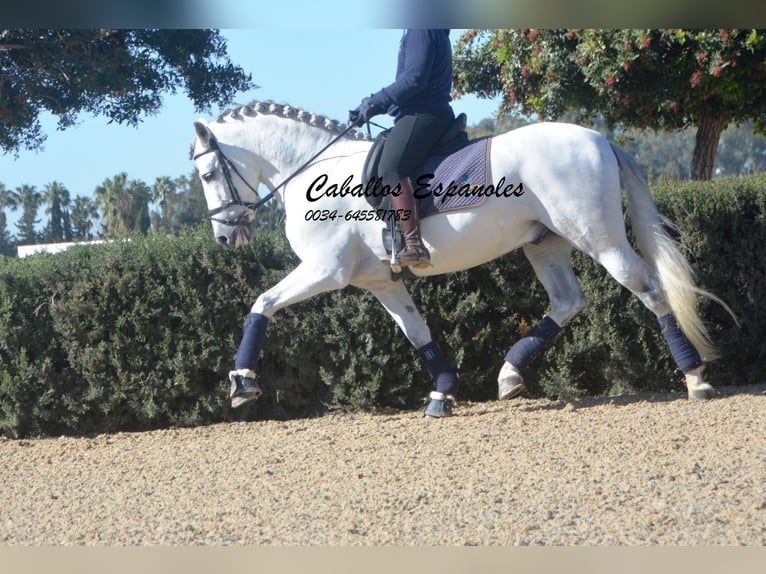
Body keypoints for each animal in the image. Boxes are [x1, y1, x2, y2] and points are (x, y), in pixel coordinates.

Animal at [190, 98, 728, 414]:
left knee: (648, 289)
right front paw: (443, 390)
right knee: (568, 301)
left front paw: (241, 382)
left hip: (599, 238)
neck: (313, 169)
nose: (225, 238)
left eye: (208, 174)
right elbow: (417, 332)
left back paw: (695, 378)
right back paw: (509, 375)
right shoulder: (380, 281)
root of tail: (597, 138)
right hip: (544, 242)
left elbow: (261, 302)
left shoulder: (327, 269)